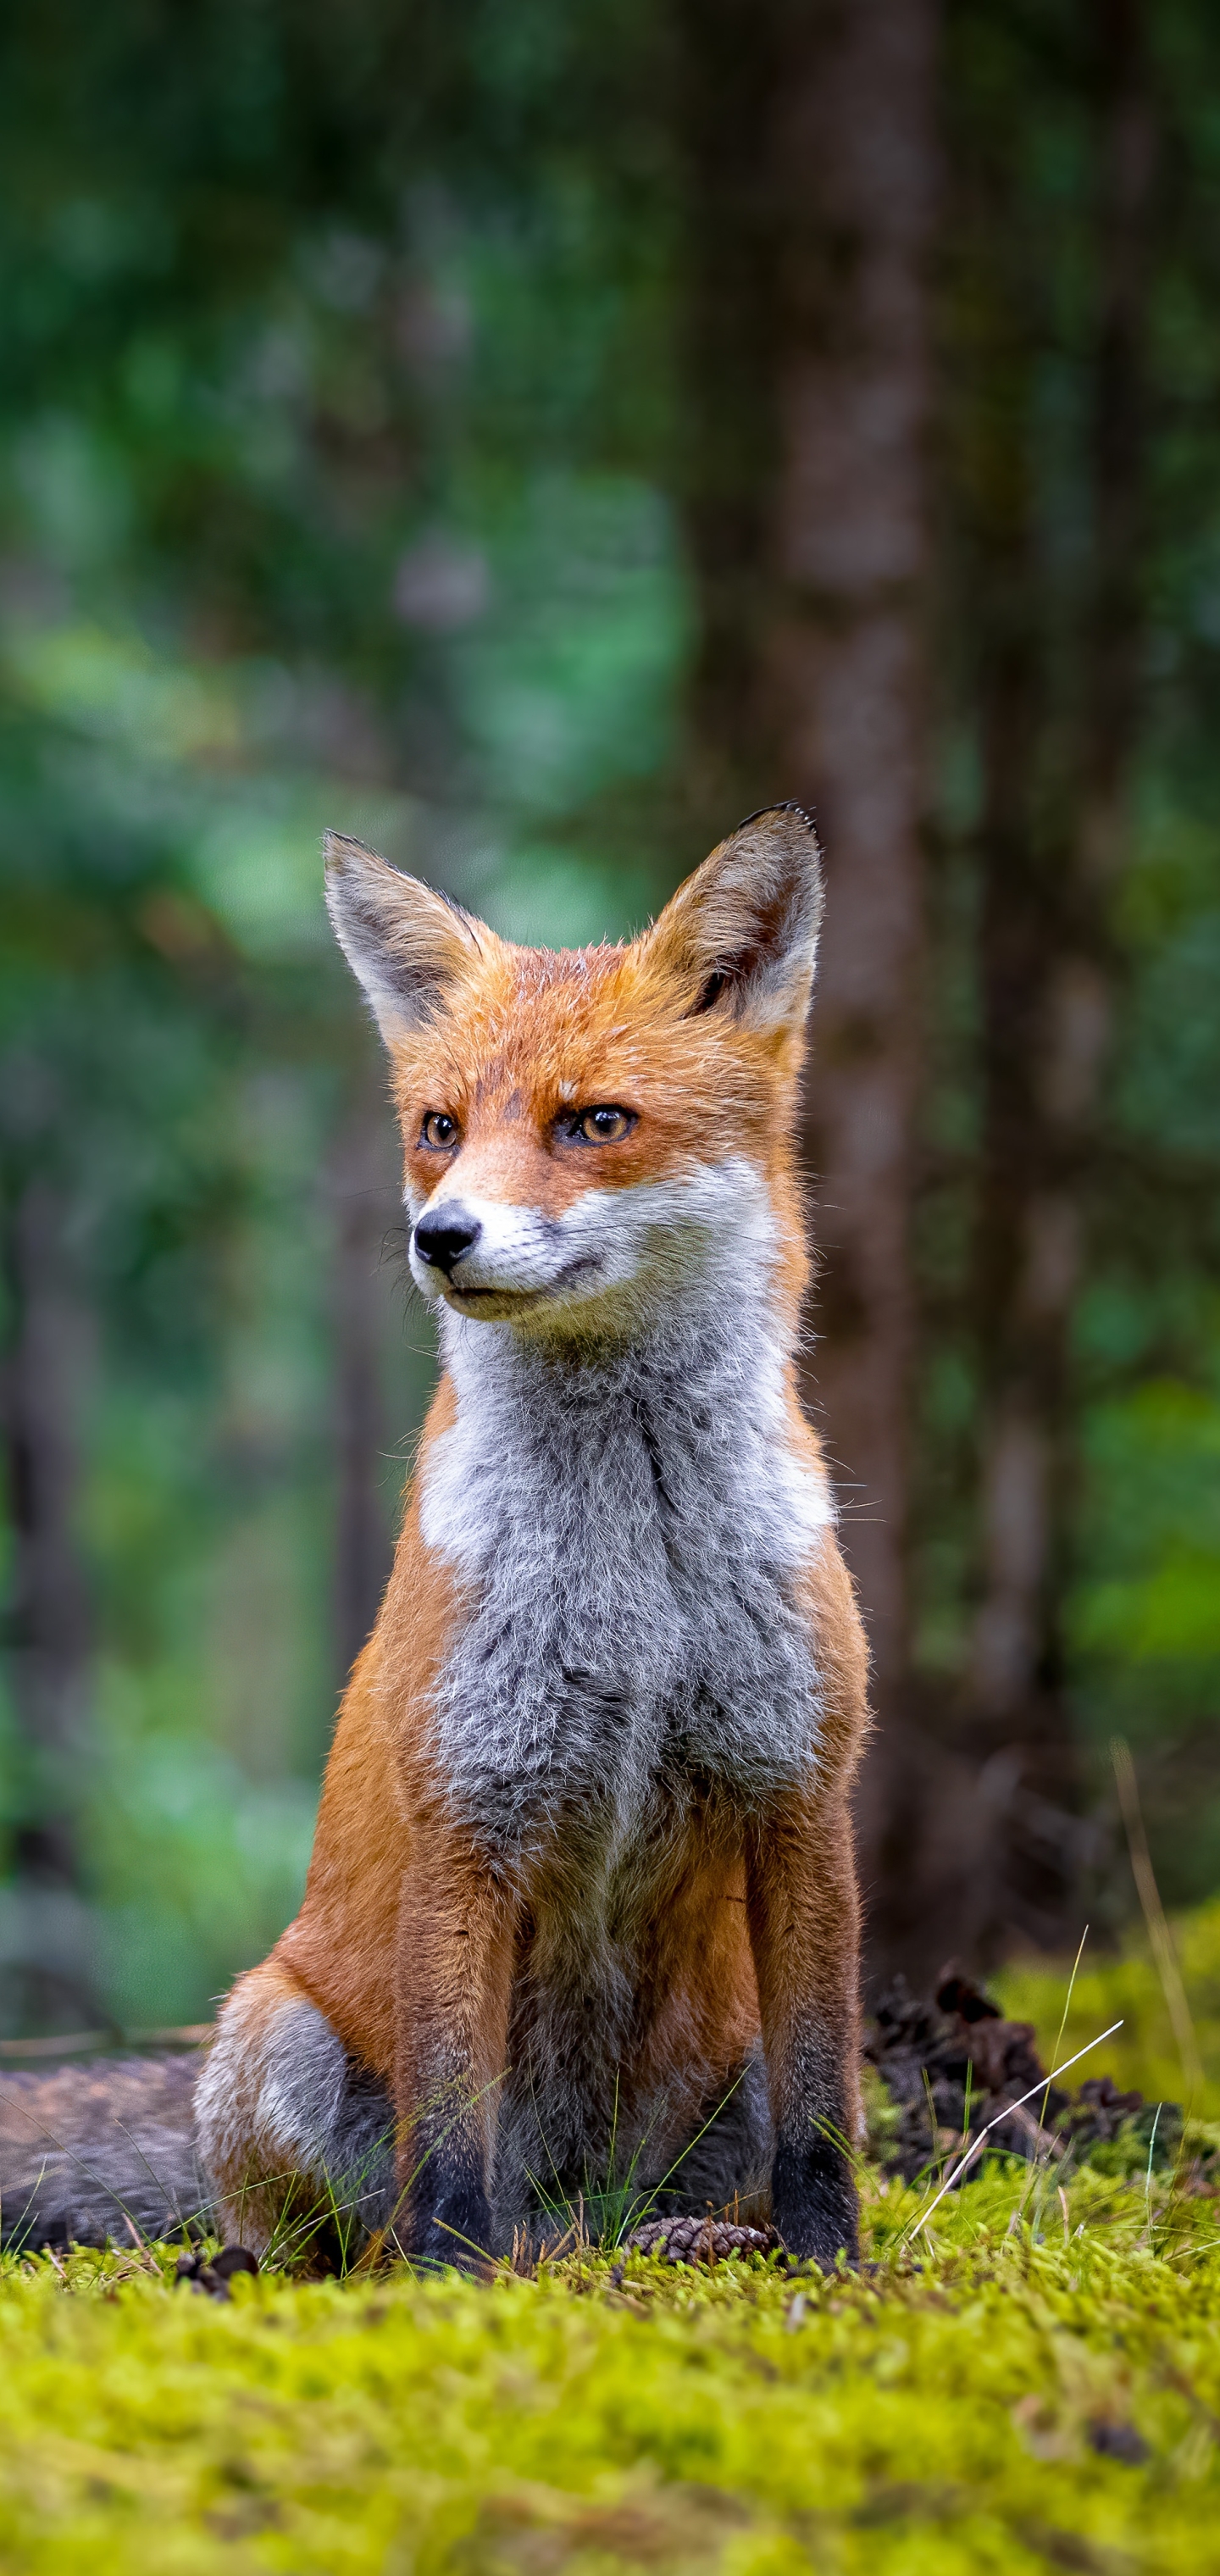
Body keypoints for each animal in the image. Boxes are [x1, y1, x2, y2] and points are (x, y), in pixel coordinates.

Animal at [192, 808, 864, 2277]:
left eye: (593, 1122)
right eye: (440, 1129)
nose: (439, 1236)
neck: (641, 1567)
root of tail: (575, 2207)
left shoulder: (801, 1787)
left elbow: (827, 2107)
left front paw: (837, 2261)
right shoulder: (472, 1804)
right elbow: (451, 2134)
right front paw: (453, 2288)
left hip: (716, 2072)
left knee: (675, 2188)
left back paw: (689, 2237)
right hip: (273, 2037)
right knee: (356, 2224)